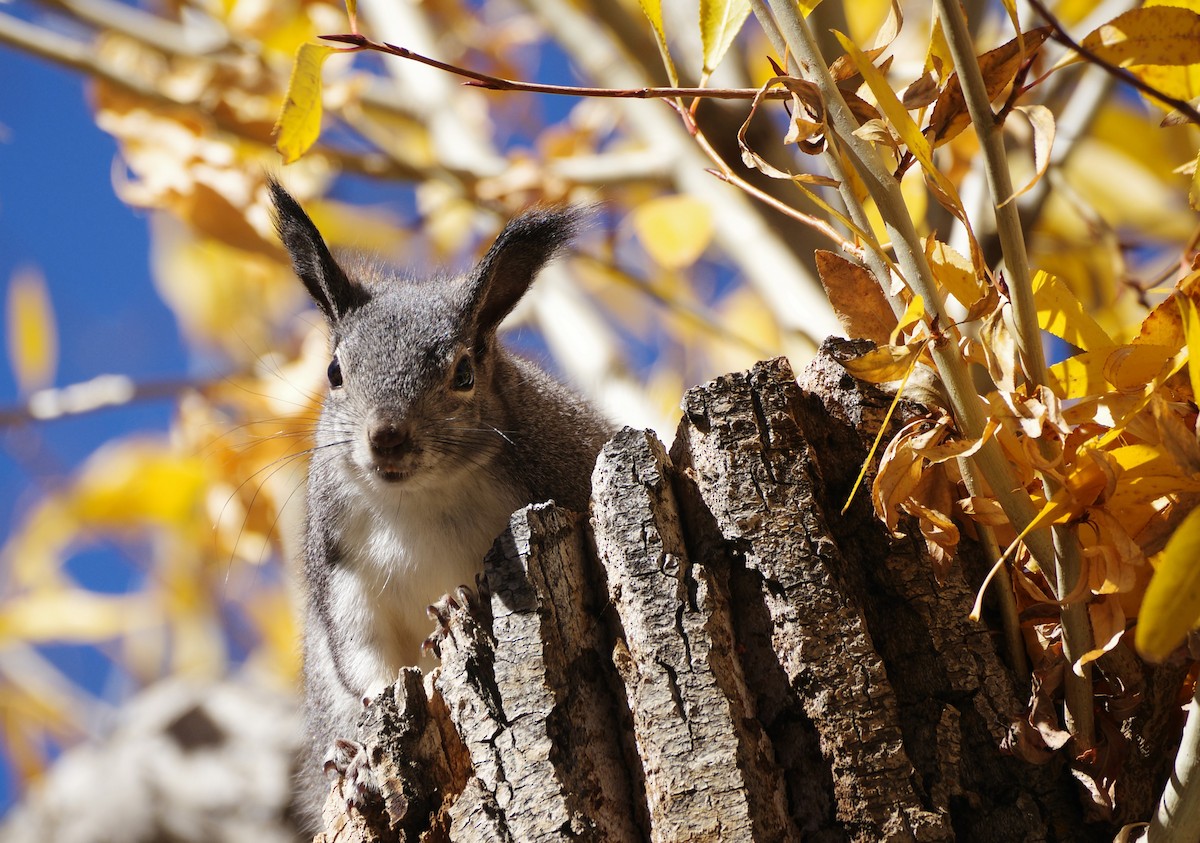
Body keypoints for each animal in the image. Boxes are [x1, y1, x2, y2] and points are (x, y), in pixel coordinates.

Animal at [268, 179, 614, 825]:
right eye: (334, 371)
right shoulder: (339, 564)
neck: (417, 500)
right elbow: (364, 659)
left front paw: (456, 604)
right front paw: (361, 754)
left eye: (464, 373)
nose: (387, 436)